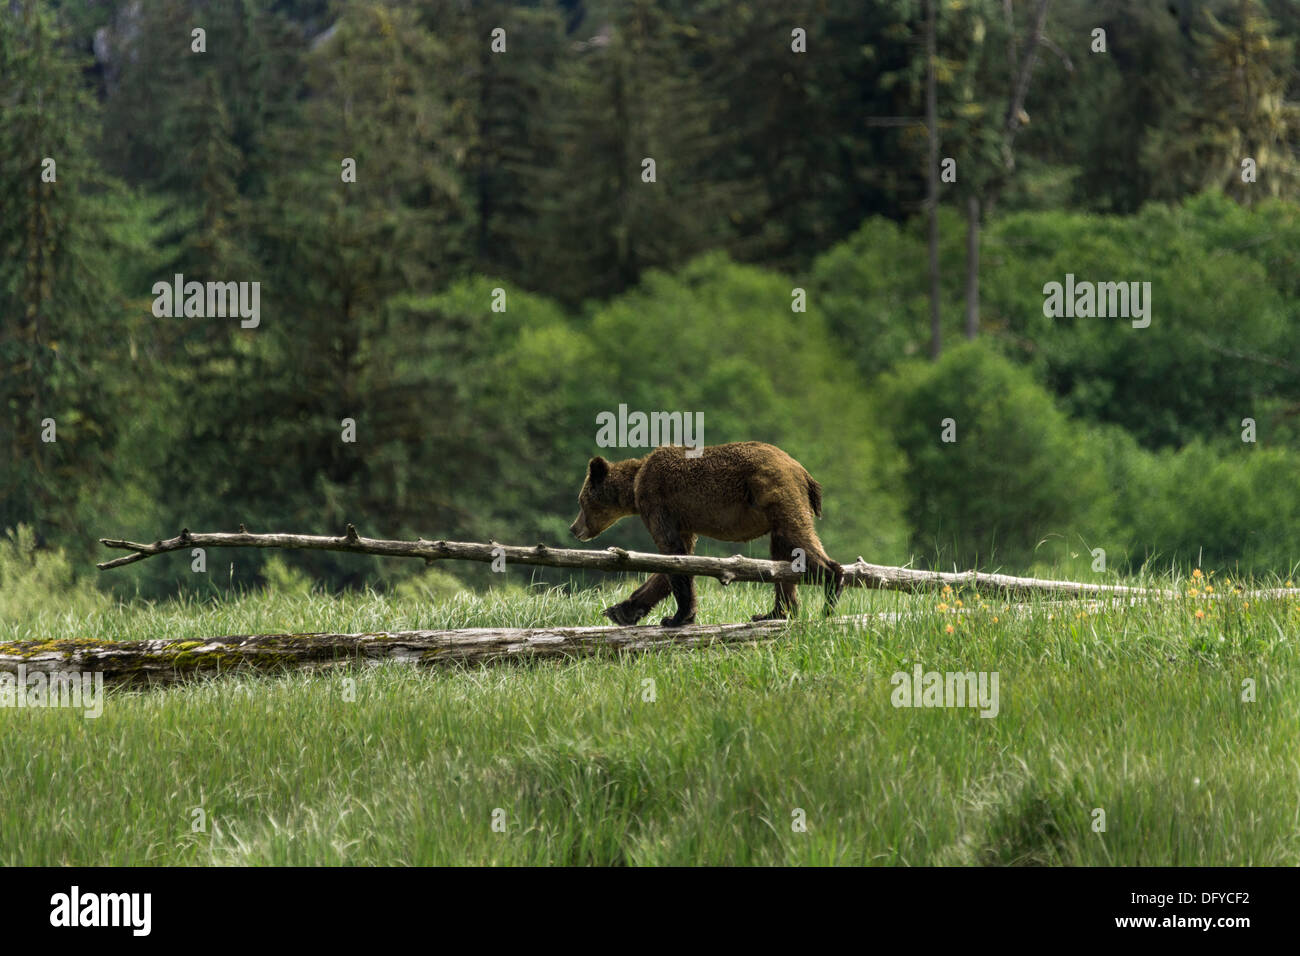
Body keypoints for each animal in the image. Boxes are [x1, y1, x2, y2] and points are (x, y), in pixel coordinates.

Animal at [566, 444, 847, 632]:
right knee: (782, 554)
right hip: (775, 506)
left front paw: (676, 617)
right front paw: (621, 610)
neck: (634, 487)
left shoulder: (657, 500)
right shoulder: (680, 519)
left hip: (776, 492)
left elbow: (671, 552)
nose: (573, 528)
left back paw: (830, 590)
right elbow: (679, 556)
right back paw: (774, 613)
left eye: (581, 501)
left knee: (798, 537)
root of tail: (804, 472)